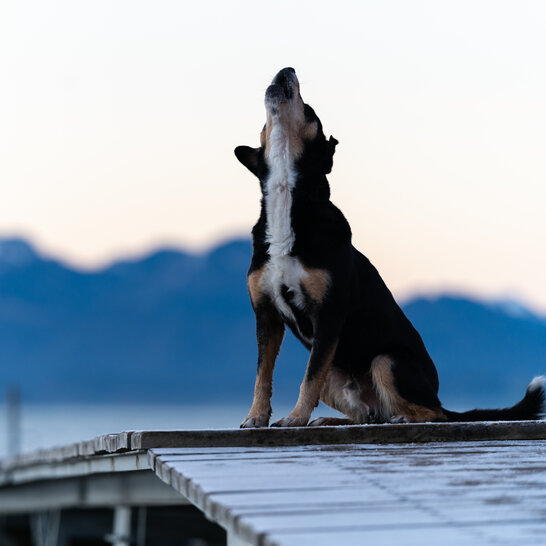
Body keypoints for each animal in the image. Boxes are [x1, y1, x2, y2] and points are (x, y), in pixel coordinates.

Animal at [233, 67, 540, 424]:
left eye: (310, 112)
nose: (287, 70)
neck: (288, 205)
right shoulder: (266, 315)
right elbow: (263, 374)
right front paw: (256, 416)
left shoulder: (328, 314)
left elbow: (307, 379)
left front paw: (295, 418)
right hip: (337, 377)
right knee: (367, 415)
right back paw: (332, 418)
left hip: (386, 361)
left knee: (433, 414)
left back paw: (402, 417)